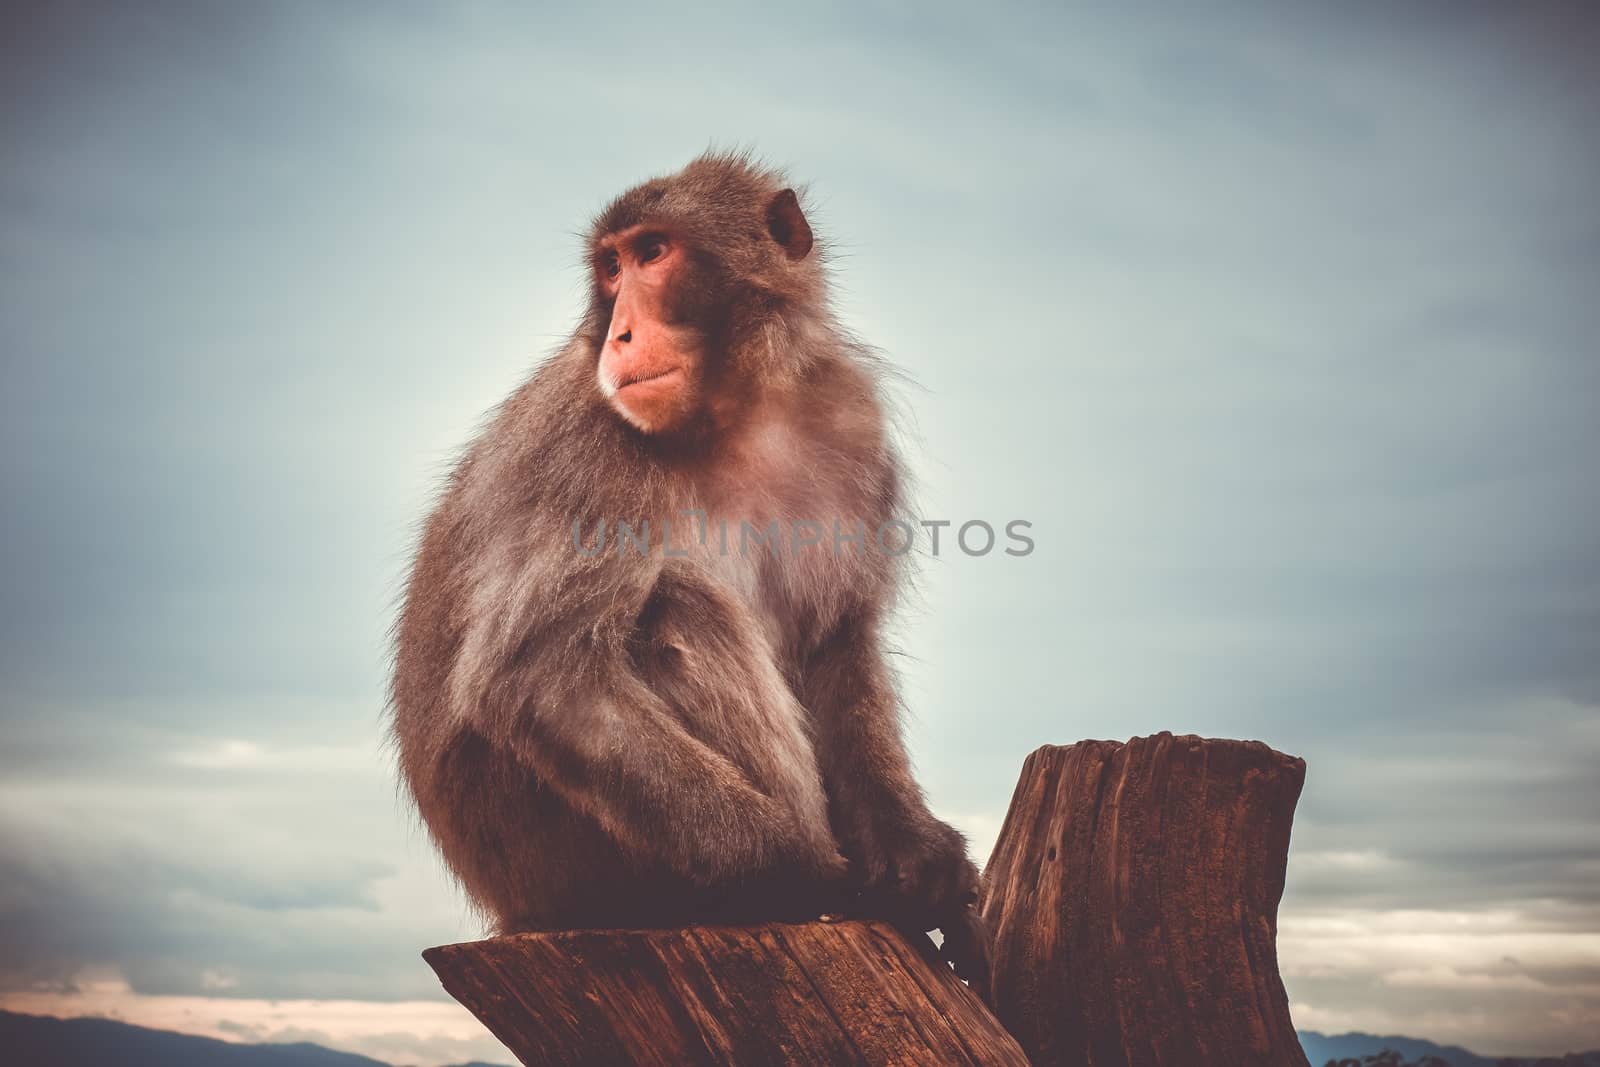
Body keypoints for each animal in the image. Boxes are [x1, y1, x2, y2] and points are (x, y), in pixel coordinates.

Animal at [387, 150, 985, 991]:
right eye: (611, 267)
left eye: (654, 253)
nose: (621, 331)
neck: (737, 410)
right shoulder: (592, 445)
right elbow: (537, 676)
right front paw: (816, 875)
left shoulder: (850, 425)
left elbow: (836, 640)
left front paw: (919, 856)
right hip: (570, 862)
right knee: (674, 603)